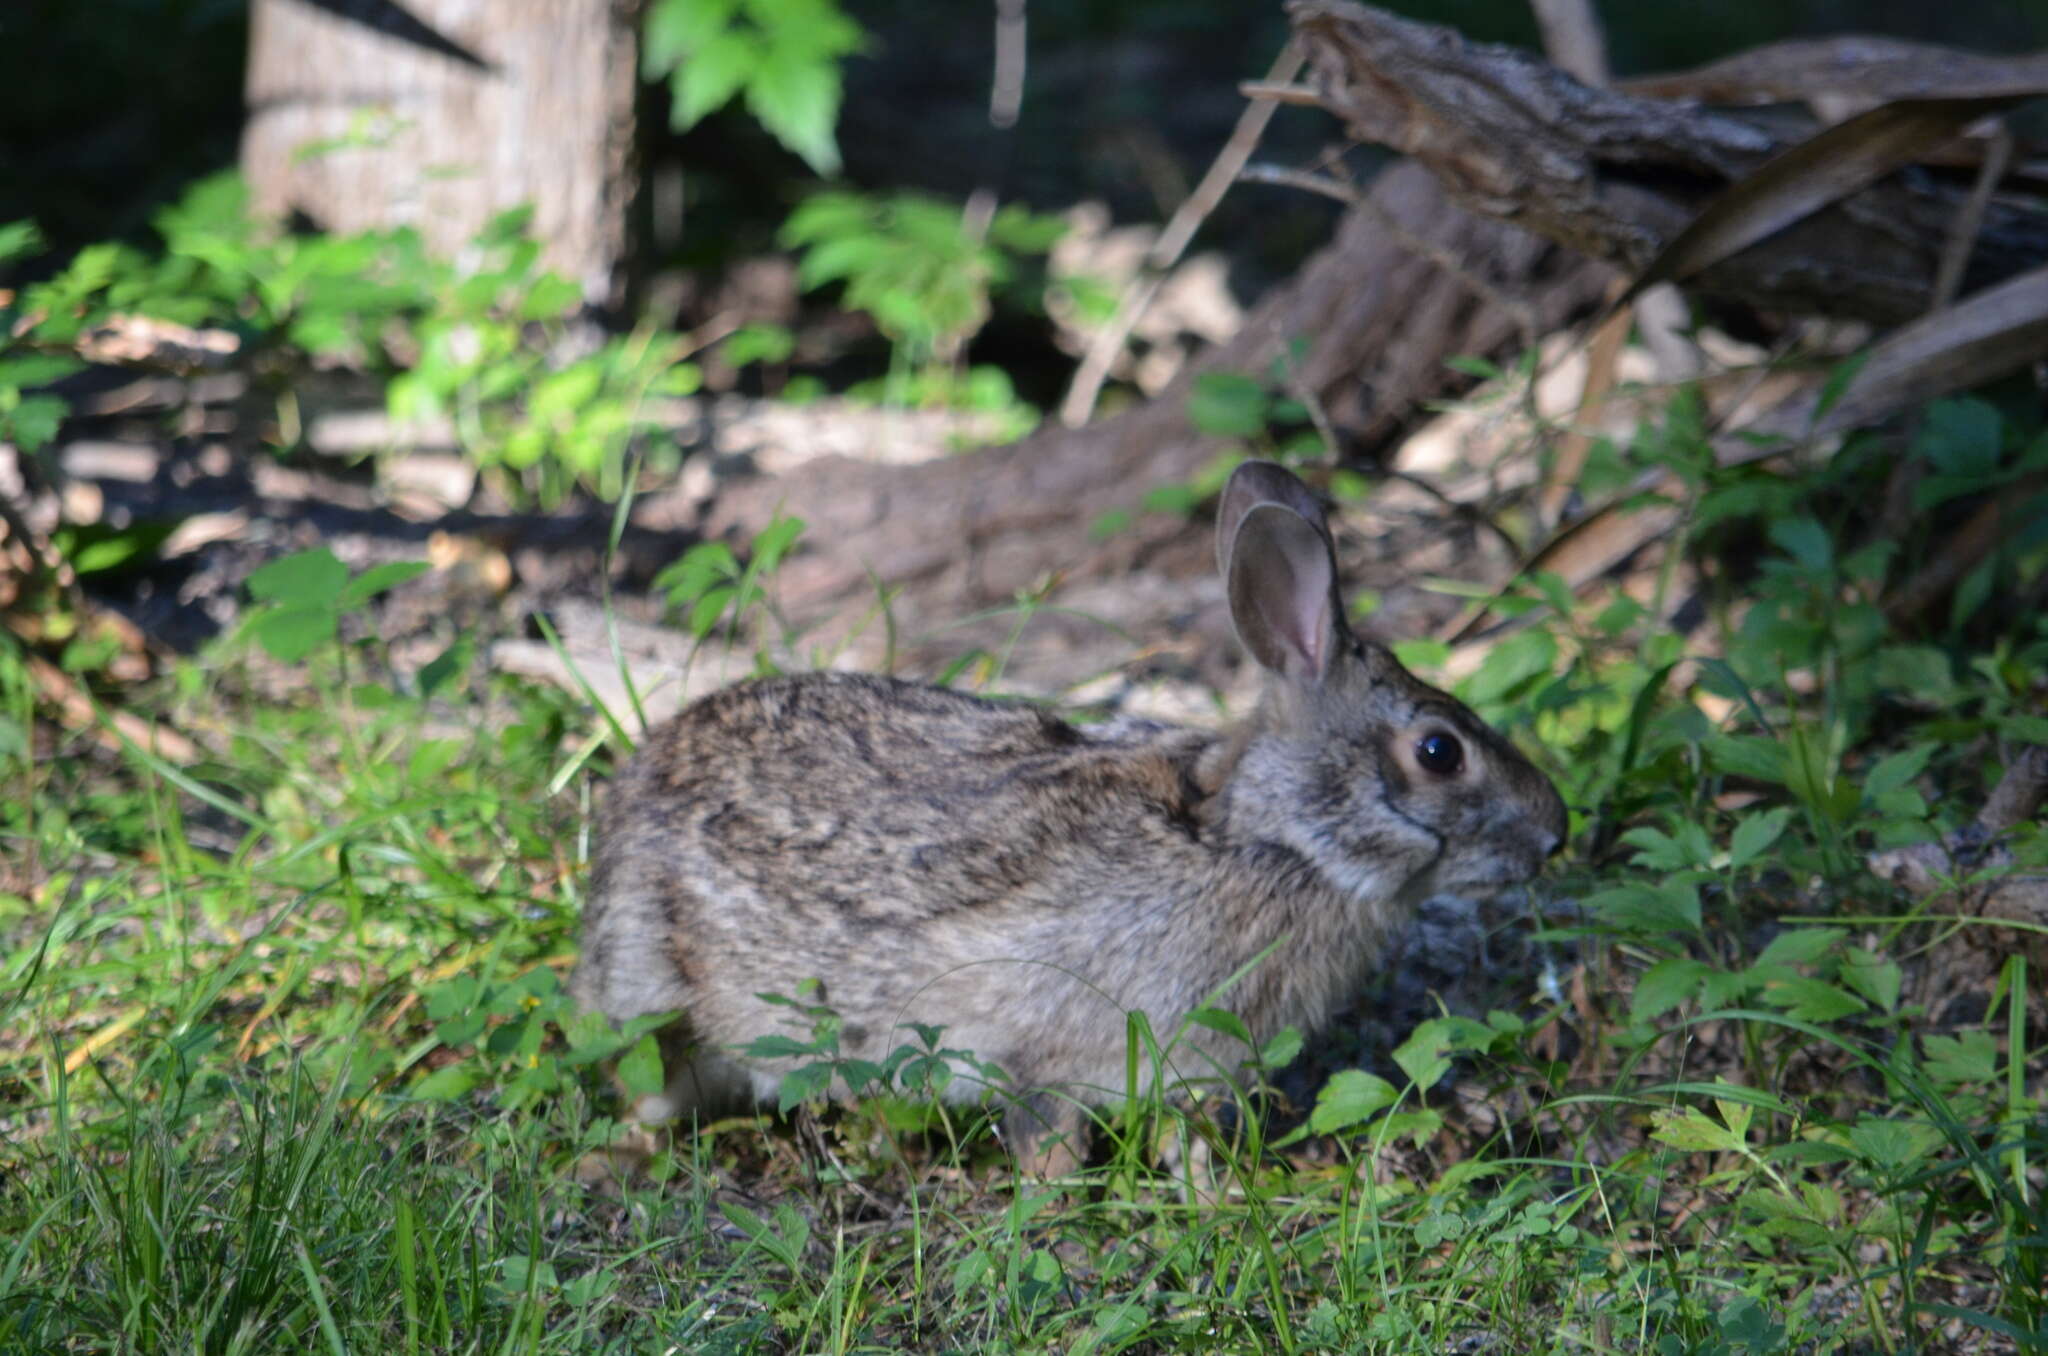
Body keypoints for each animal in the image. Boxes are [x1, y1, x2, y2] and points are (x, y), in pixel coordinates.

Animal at [577, 462, 1564, 1171]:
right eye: (1439, 752)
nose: (1555, 831)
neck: (1267, 839)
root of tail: (631, 798)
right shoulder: (1047, 1051)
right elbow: (1049, 1141)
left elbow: (1183, 1145)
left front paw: (1214, 1202)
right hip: (658, 998)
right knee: (643, 1083)